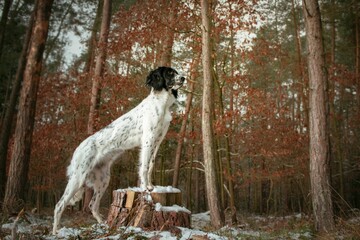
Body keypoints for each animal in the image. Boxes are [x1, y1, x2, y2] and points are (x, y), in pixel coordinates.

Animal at [52, 66, 186, 234]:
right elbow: (144, 167)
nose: (183, 78)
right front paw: (145, 189)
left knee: (92, 205)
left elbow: (150, 166)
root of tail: (77, 150)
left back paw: (104, 225)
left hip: (103, 180)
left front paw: (150, 186)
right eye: (169, 73)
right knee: (59, 205)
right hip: (78, 178)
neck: (160, 104)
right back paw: (55, 232)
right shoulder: (148, 140)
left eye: (176, 72)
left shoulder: (157, 141)